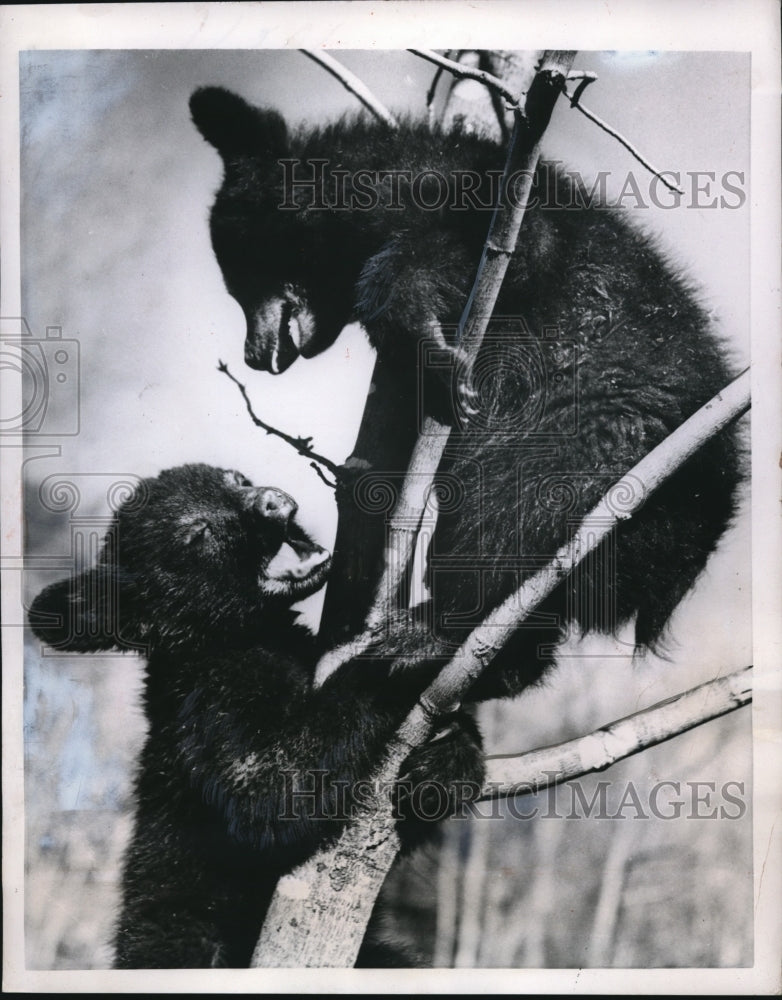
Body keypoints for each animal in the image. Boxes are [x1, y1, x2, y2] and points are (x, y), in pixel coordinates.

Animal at [28, 463, 485, 968]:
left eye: (236, 479)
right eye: (197, 534)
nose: (271, 502)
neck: (241, 633)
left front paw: (446, 763)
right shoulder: (210, 701)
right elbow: (269, 787)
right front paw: (404, 649)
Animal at [189, 86, 743, 701]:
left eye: (242, 273)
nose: (253, 356)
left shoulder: (486, 197)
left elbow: (507, 250)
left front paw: (423, 335)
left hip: (601, 443)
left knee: (508, 508)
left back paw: (426, 633)